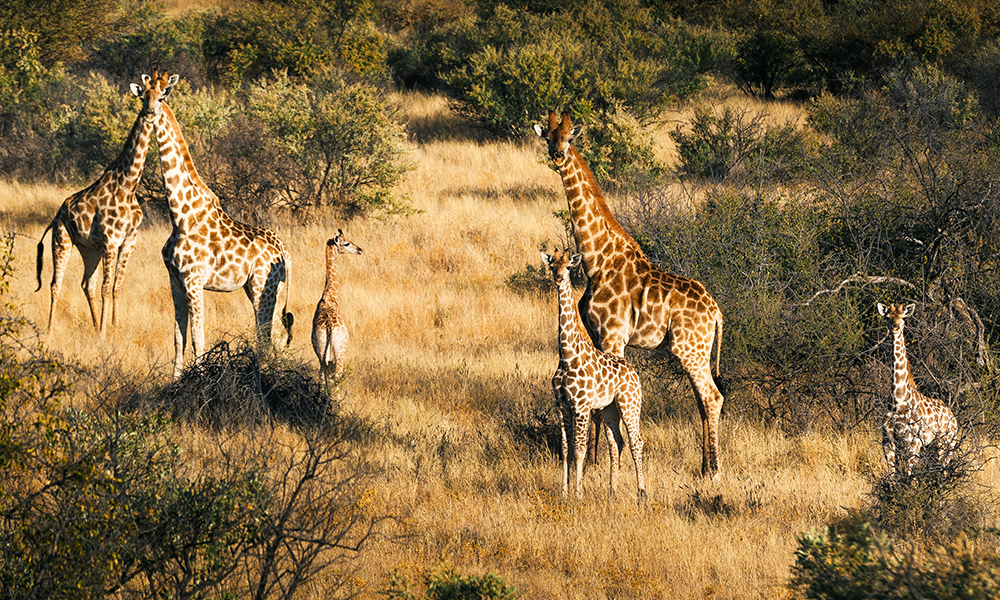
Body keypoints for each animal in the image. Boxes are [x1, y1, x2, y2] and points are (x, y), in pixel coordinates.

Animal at [35, 78, 153, 335]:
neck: (128, 185)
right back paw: (49, 330)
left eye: (162, 96)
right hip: (62, 241)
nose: (150, 112)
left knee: (86, 283)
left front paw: (113, 328)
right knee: (55, 284)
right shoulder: (111, 241)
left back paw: (96, 324)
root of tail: (55, 217)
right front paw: (104, 335)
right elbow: (106, 289)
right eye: (143, 96)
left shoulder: (129, 240)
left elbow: (117, 286)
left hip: (89, 249)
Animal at [141, 71, 294, 379]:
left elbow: (198, 338)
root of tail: (285, 252)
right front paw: (176, 382)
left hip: (263, 285)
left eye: (162, 96)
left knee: (266, 336)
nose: (149, 113)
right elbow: (178, 337)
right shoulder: (175, 279)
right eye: (142, 96)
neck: (180, 215)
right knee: (274, 335)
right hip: (263, 288)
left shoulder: (193, 279)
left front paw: (198, 379)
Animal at [312, 229, 363, 390]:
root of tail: (329, 328)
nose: (360, 250)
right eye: (346, 243)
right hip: (340, 352)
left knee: (322, 377)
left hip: (322, 351)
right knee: (336, 378)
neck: (330, 295)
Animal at [544, 250, 646, 502]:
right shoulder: (561, 405)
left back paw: (642, 493)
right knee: (617, 442)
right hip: (609, 409)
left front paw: (579, 494)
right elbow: (565, 449)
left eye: (568, 267)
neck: (566, 355)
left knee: (636, 442)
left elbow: (580, 450)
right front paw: (564, 493)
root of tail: (635, 373)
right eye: (552, 265)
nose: (558, 278)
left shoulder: (581, 407)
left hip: (630, 404)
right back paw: (612, 491)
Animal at [877, 302, 958, 479]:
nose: (895, 327)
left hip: (947, 442)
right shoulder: (887, 442)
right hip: (934, 446)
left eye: (903, 318)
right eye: (887, 317)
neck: (898, 400)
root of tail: (954, 418)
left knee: (943, 469)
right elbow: (892, 476)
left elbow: (910, 476)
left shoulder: (913, 442)